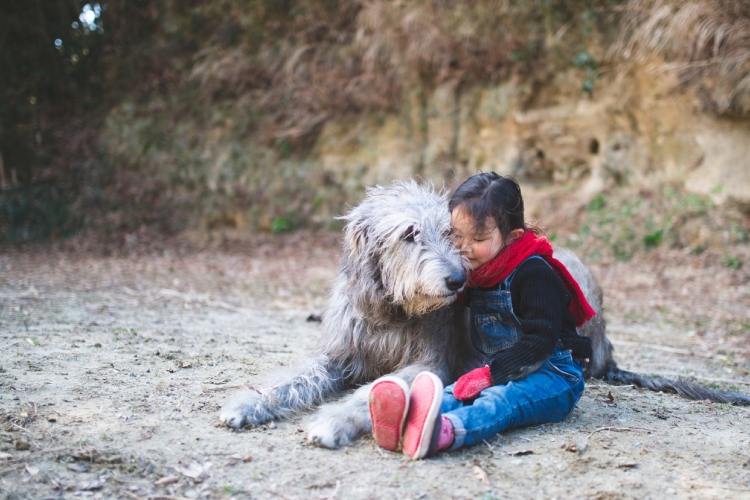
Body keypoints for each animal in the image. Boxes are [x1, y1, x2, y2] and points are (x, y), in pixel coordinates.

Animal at [220, 183, 748, 450]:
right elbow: (293, 376)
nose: (457, 281)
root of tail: (607, 348)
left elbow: (376, 389)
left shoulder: (429, 361)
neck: (394, 310)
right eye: (410, 233)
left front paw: (332, 420)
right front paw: (246, 403)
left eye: (451, 234)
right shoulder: (340, 352)